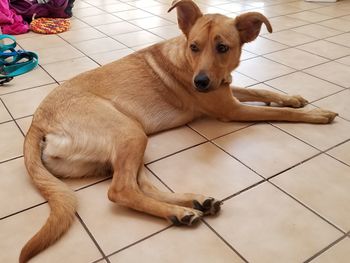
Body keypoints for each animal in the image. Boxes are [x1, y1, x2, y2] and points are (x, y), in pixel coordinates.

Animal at [20, 0, 338, 262]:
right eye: (194, 47)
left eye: (222, 48)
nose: (200, 82)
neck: (188, 59)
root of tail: (37, 123)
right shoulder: (231, 110)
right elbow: (279, 113)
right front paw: (316, 114)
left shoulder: (226, 90)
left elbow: (260, 89)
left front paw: (292, 98)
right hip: (131, 133)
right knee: (121, 190)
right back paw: (180, 211)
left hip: (128, 144)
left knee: (140, 186)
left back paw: (193, 202)